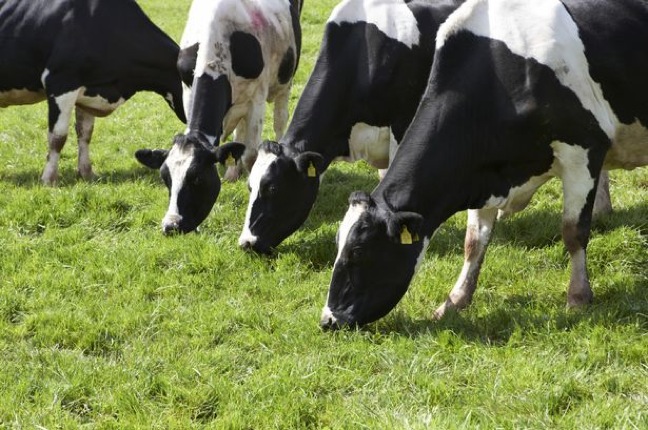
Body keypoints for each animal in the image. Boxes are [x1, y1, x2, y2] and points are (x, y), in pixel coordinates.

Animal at [0, 0, 186, 185]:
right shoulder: (60, 82)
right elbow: (58, 137)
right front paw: (49, 179)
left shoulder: (88, 90)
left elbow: (85, 134)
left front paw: (87, 173)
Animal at [134, 0, 303, 234]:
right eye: (165, 178)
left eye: (196, 179)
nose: (171, 225)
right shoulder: (187, 90)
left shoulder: (257, 98)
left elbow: (250, 155)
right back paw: (232, 172)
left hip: (285, 80)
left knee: (280, 120)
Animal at [320, 0, 648, 329]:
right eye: (337, 244)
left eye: (359, 250)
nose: (328, 320)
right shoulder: (479, 171)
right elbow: (474, 242)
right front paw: (454, 301)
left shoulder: (583, 151)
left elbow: (573, 232)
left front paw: (578, 297)